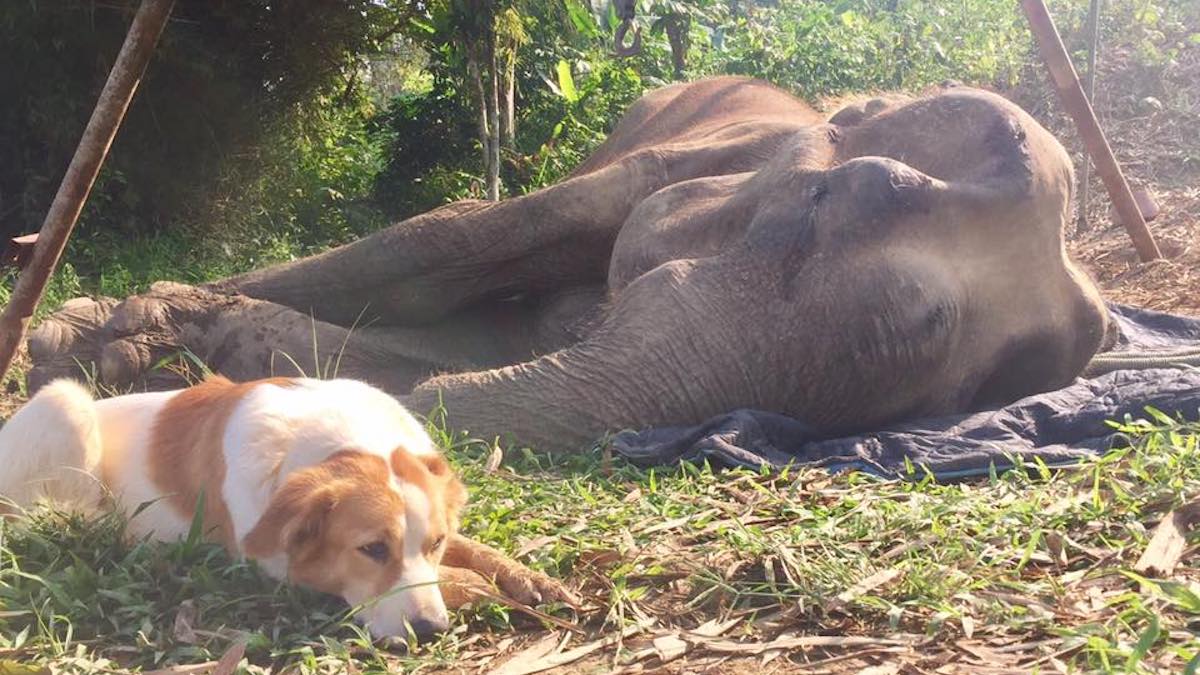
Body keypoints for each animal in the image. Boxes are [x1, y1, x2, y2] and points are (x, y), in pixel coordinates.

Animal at [0, 374, 573, 638]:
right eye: (372, 550)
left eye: (435, 543)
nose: (432, 631)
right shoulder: (280, 568)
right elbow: (456, 579)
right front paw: (482, 590)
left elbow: (475, 551)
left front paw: (529, 578)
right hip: (65, 400)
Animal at [23, 74, 1108, 451]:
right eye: (835, 198)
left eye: (982, 386)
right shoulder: (672, 164)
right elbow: (445, 240)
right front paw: (91, 338)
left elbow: (476, 342)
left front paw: (185, 351)